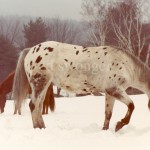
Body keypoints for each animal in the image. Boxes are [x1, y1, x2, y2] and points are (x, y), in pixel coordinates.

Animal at [12, 40, 150, 131]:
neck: (126, 65)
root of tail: (30, 50)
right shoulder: (115, 90)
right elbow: (131, 105)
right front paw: (120, 125)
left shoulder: (109, 93)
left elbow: (108, 114)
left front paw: (105, 130)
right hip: (40, 82)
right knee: (33, 105)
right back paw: (38, 129)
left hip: (45, 85)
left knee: (38, 106)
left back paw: (42, 128)